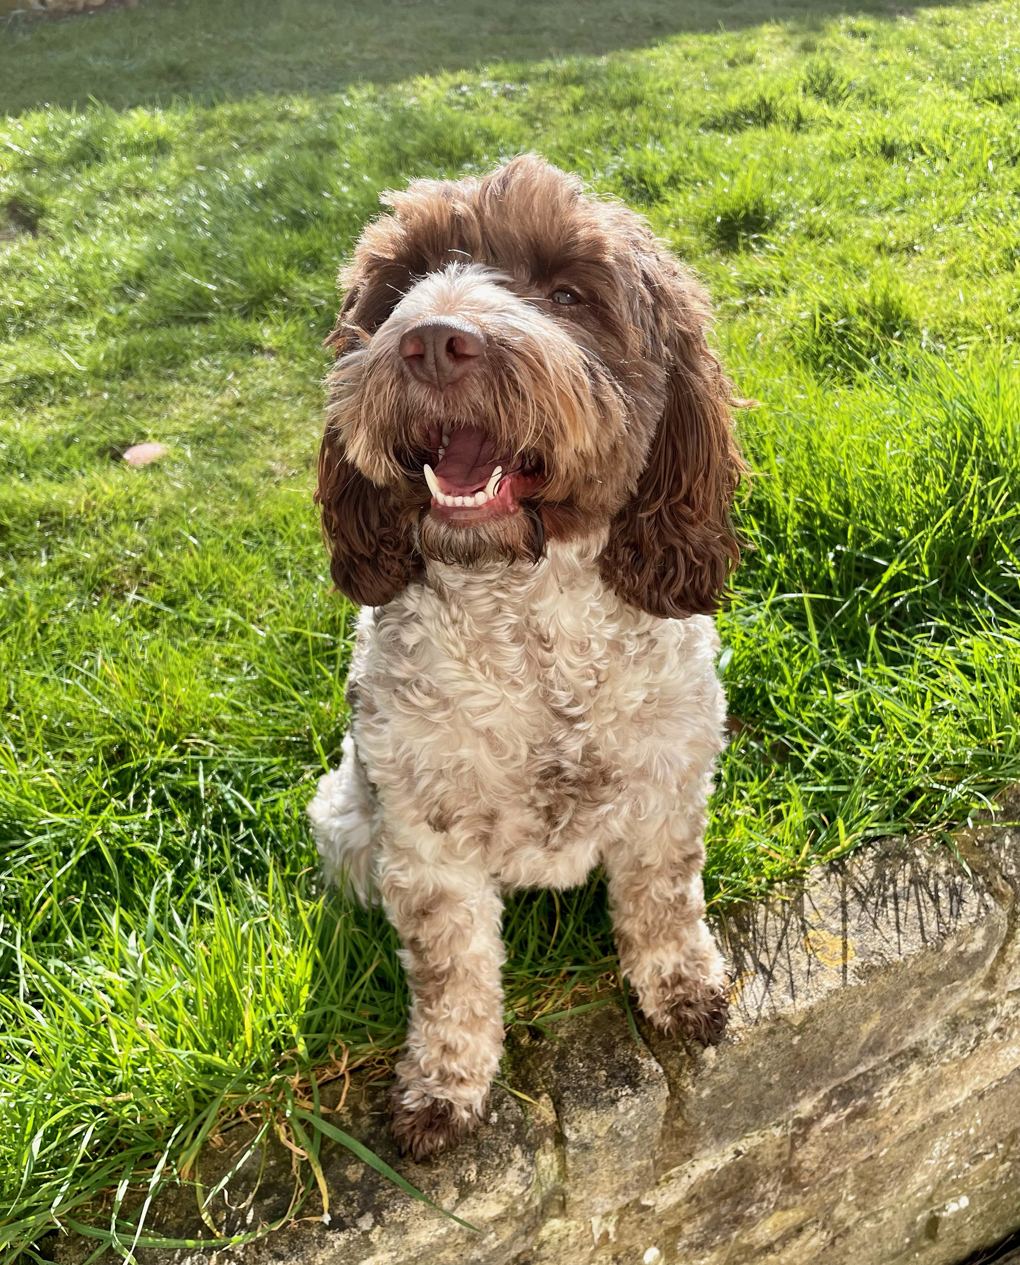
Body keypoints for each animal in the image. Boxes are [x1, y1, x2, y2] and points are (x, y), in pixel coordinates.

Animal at [303, 153, 744, 1158]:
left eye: (568, 293)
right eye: (401, 284)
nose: (434, 340)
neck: (534, 627)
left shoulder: (666, 789)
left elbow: (664, 901)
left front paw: (682, 988)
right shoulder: (426, 842)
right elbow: (450, 972)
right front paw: (445, 1087)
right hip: (345, 819)